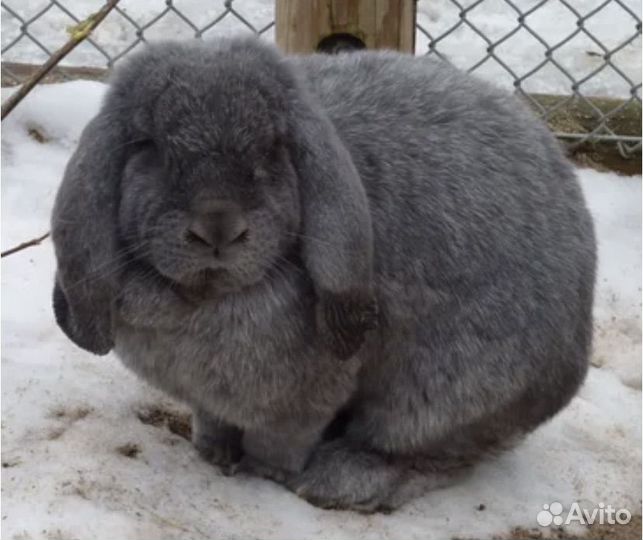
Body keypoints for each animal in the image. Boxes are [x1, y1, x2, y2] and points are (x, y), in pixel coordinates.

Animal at [51, 36, 596, 512]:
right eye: (147, 146)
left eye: (274, 147)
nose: (218, 227)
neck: (201, 299)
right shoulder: (210, 401)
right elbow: (213, 422)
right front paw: (212, 453)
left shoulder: (301, 403)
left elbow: (280, 441)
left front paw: (264, 474)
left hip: (441, 397)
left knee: (433, 454)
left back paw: (341, 480)